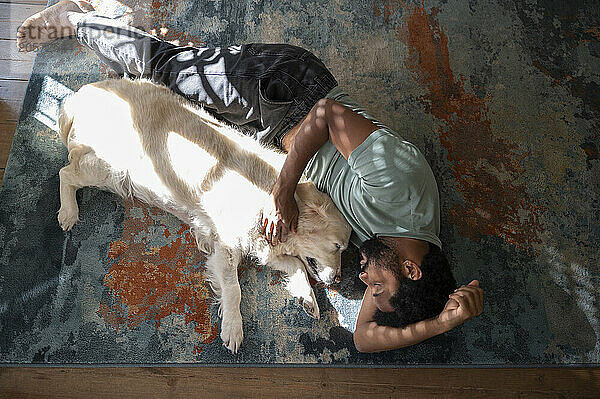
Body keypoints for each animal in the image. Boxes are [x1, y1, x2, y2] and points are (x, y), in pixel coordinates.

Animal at [56, 78, 352, 354]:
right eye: (337, 246)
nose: (339, 279)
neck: (267, 195)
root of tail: (80, 94)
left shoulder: (261, 245)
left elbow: (298, 265)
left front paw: (308, 298)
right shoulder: (228, 246)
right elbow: (234, 289)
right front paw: (233, 328)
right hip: (107, 169)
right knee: (65, 173)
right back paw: (68, 213)